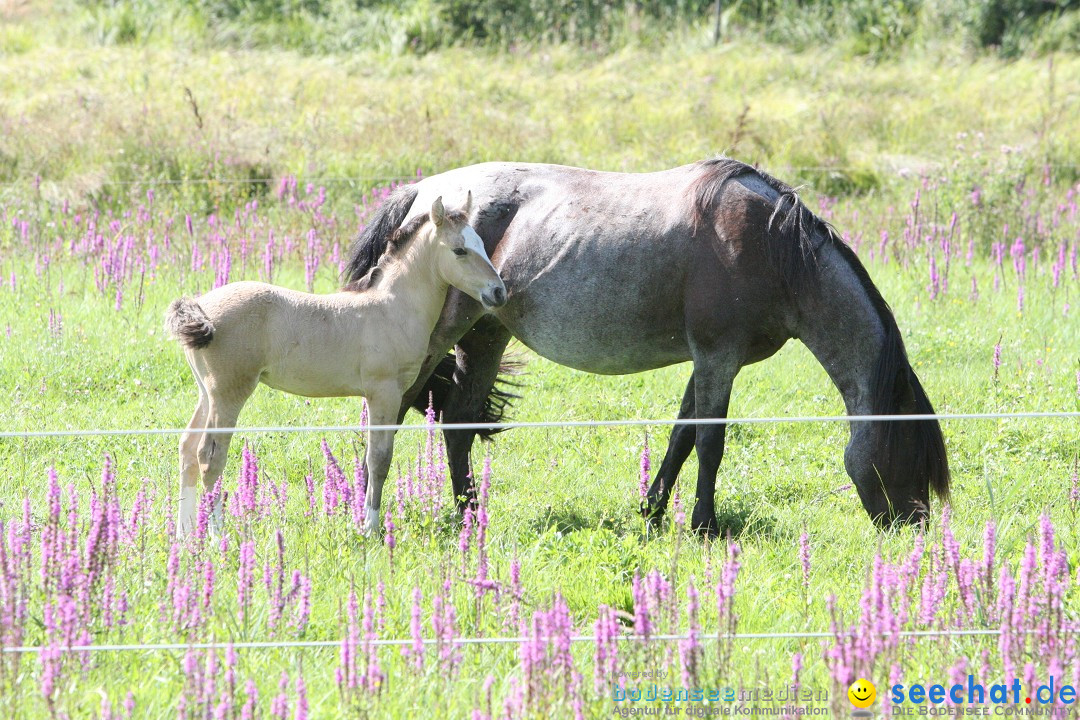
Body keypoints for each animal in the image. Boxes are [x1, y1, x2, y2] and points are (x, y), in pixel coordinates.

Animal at [165, 194, 505, 537]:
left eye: (482, 245)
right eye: (459, 250)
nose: (499, 292)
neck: (392, 308)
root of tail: (200, 307)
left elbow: (371, 456)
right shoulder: (384, 392)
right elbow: (379, 459)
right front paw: (370, 527)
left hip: (206, 394)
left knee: (187, 448)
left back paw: (185, 532)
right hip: (229, 393)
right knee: (209, 455)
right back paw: (215, 535)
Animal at [341, 158, 950, 539]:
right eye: (910, 456)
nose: (916, 531)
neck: (774, 249)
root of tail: (423, 192)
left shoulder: (710, 362)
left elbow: (681, 437)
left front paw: (652, 512)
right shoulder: (718, 358)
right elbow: (710, 442)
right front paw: (704, 525)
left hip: (487, 336)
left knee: (459, 423)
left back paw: (470, 515)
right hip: (439, 339)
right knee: (392, 416)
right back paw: (374, 509)